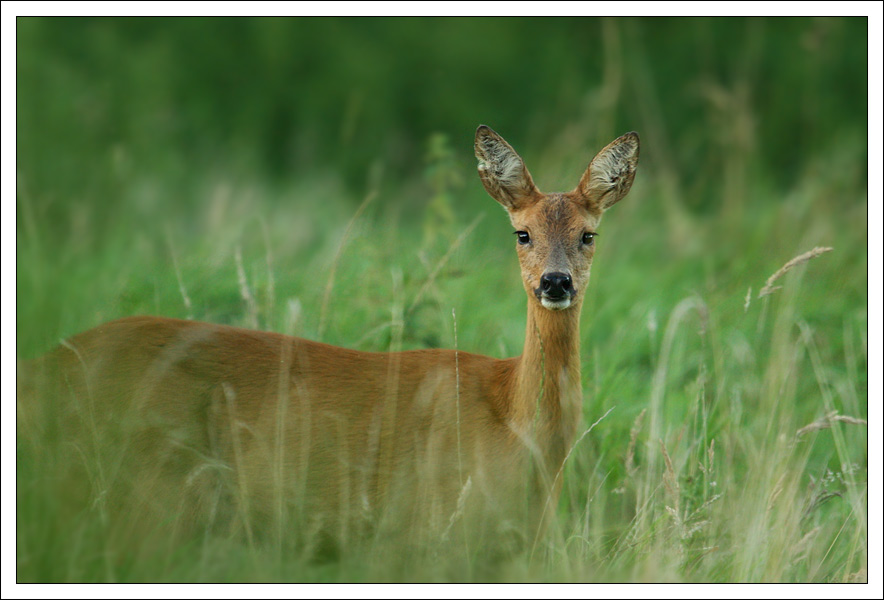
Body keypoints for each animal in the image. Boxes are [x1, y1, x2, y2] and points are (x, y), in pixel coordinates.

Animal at [19, 126, 636, 564]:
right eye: (521, 232)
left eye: (588, 234)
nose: (555, 282)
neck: (513, 426)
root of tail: (41, 370)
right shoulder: (419, 535)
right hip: (146, 496)